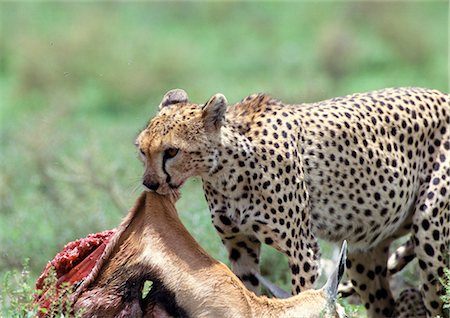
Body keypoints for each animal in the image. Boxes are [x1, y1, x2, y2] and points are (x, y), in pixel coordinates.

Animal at [136, 87, 450, 318]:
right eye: (141, 150)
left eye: (172, 151)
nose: (149, 184)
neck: (225, 170)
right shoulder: (240, 246)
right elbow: (245, 292)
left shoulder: (303, 250)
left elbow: (302, 295)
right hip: (363, 248)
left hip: (429, 234)